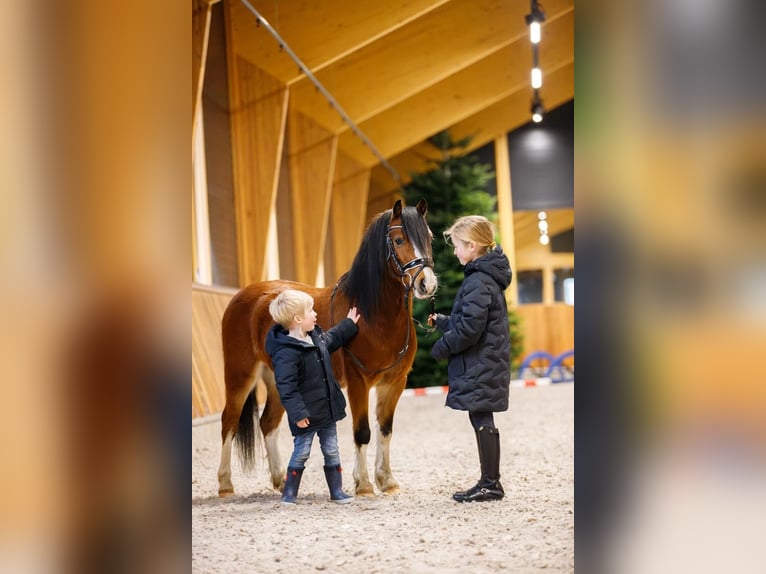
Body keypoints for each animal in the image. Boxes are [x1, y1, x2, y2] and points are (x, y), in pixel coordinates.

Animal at [219, 200, 440, 498]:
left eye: (429, 238)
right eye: (398, 240)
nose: (427, 284)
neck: (375, 316)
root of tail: (241, 297)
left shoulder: (395, 383)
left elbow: (385, 430)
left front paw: (387, 481)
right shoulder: (359, 382)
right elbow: (363, 432)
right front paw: (364, 485)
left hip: (277, 380)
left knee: (267, 424)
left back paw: (280, 481)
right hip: (240, 376)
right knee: (229, 422)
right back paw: (225, 485)